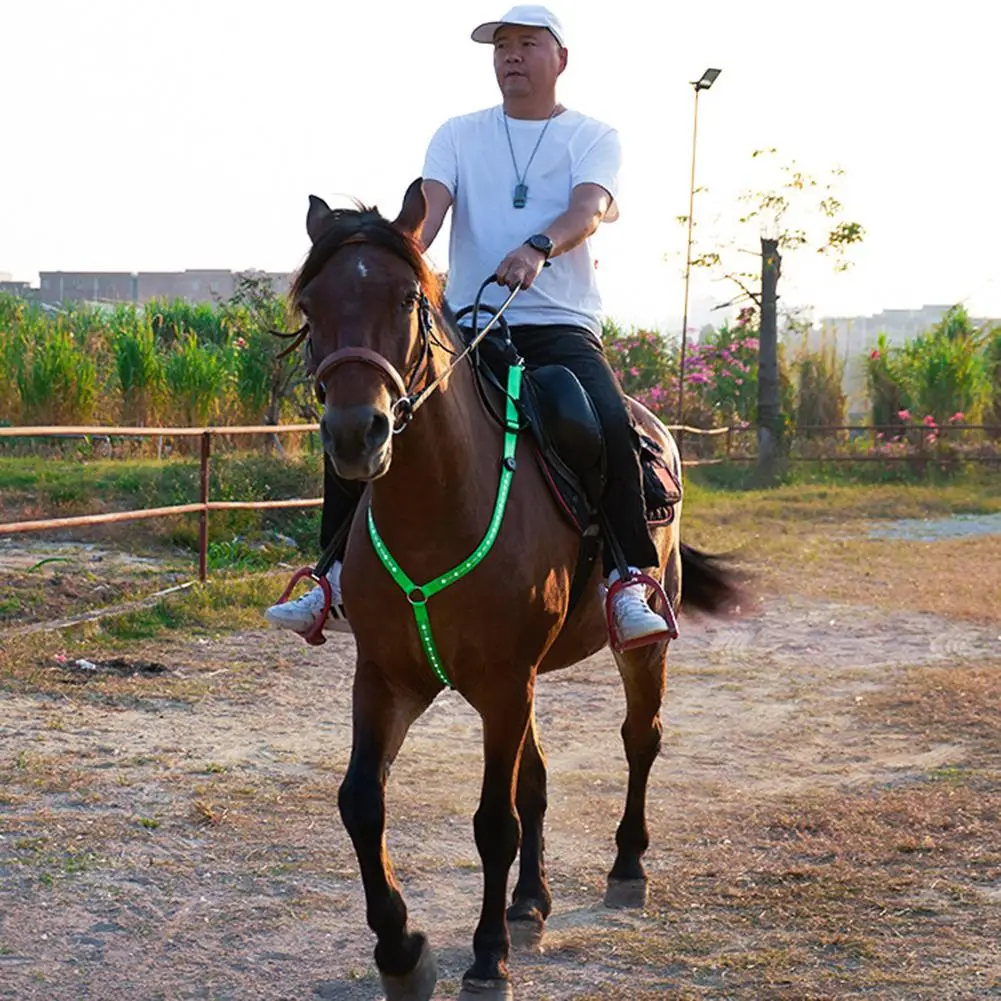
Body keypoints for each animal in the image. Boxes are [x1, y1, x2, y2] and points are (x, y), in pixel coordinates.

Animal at [285, 178, 743, 1001]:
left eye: (406, 298)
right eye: (311, 304)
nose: (356, 434)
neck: (439, 509)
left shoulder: (502, 684)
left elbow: (492, 821)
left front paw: (485, 956)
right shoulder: (388, 676)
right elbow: (362, 802)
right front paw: (403, 952)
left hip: (632, 652)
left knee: (640, 739)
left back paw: (625, 869)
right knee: (536, 778)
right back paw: (531, 901)